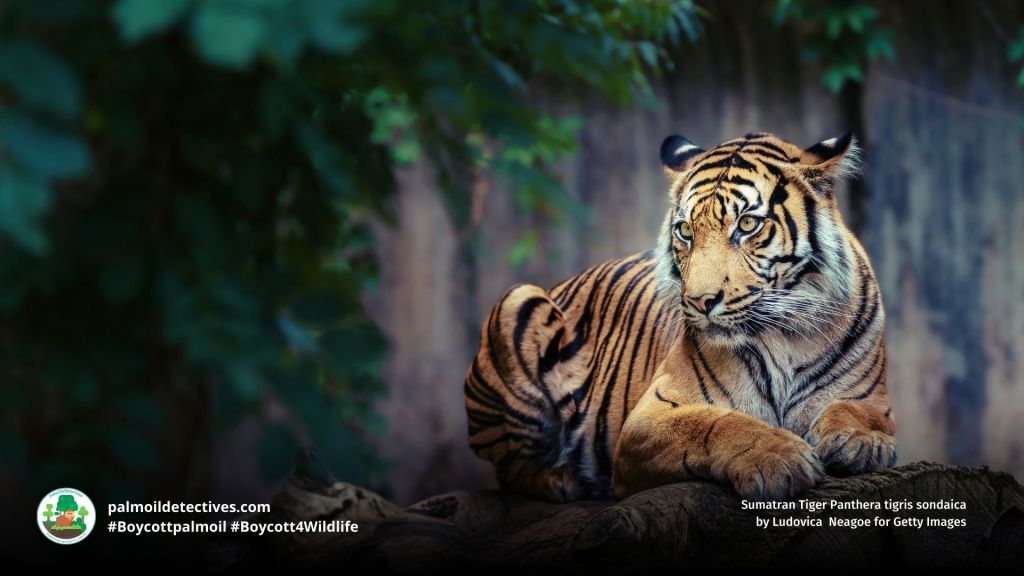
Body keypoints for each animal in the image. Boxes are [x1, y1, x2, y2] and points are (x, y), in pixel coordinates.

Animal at [464, 130, 896, 502]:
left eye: (747, 224)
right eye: (686, 230)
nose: (700, 300)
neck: (783, 334)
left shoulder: (870, 397)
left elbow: (859, 411)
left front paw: (861, 442)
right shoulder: (647, 418)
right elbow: (715, 424)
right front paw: (779, 458)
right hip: (519, 301)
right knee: (509, 467)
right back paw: (560, 479)